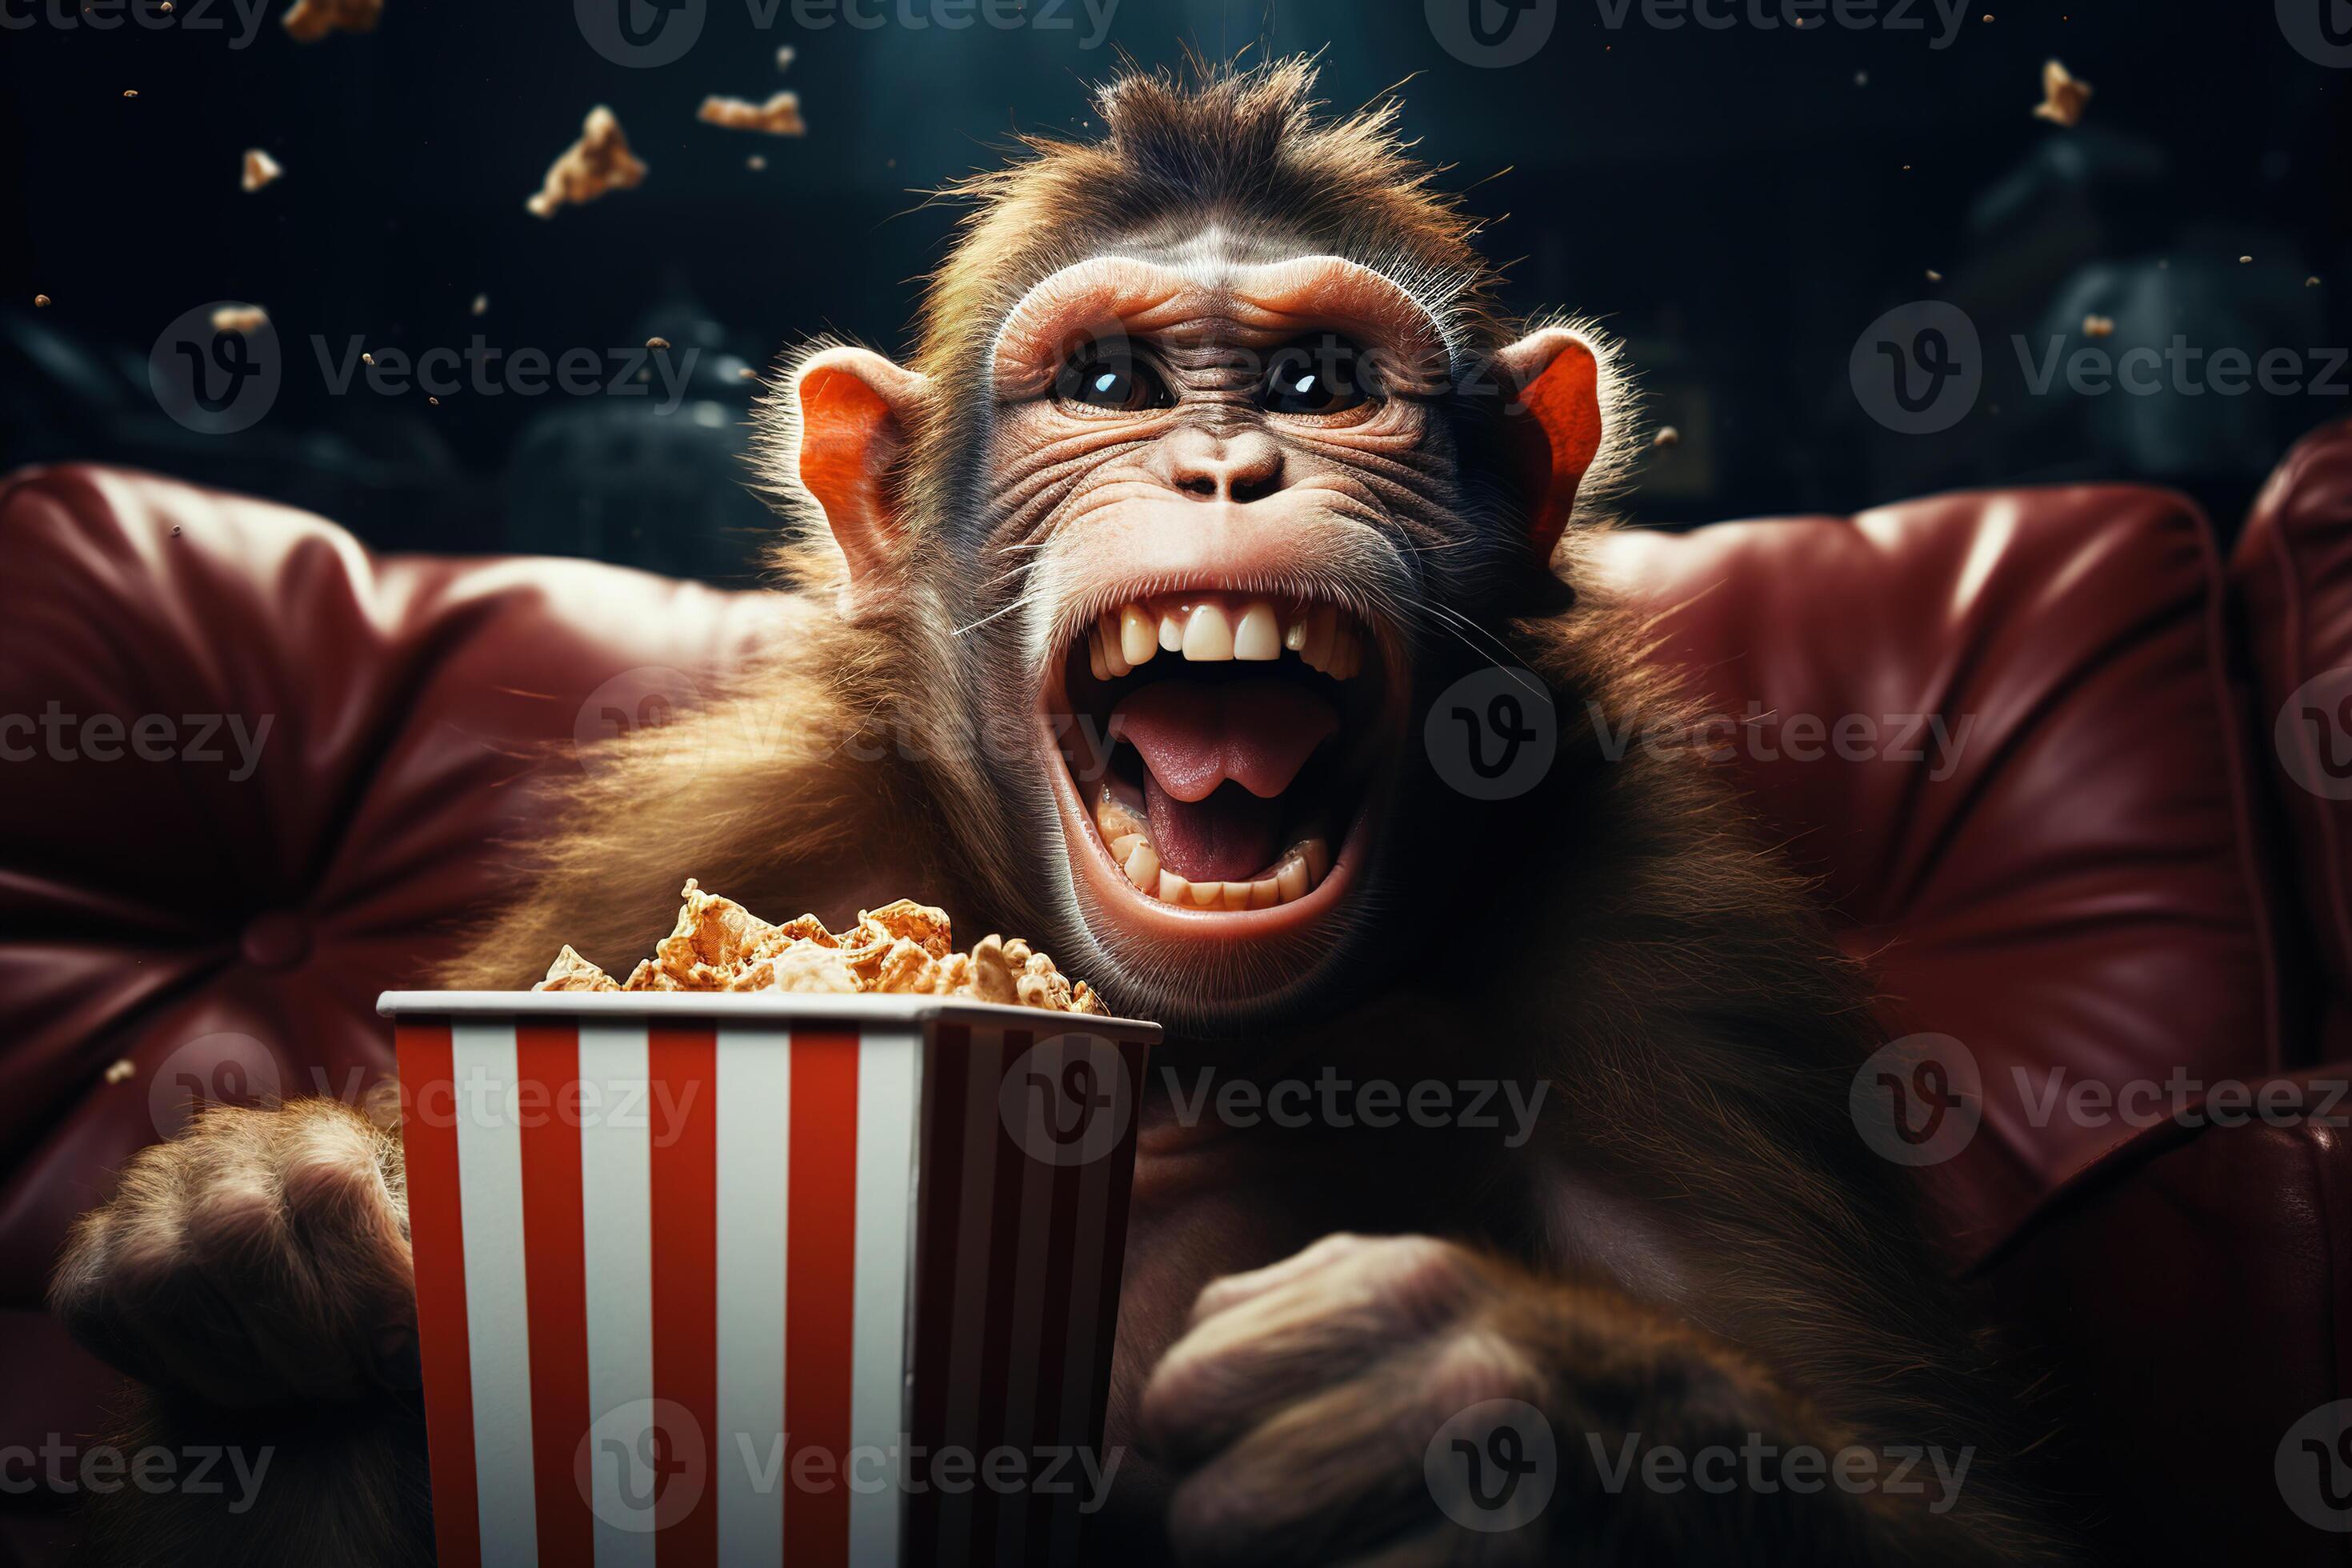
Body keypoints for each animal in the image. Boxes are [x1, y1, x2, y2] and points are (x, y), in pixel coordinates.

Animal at [48, 58, 2069, 1566]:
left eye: (1324, 384)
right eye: (1111, 382)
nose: (1225, 461)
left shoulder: (1675, 964)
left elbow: (1948, 1488)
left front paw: (1501, 1399)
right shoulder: (706, 843)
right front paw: (260, 1213)